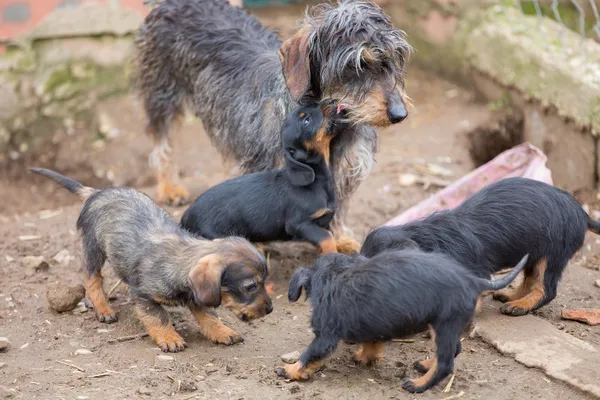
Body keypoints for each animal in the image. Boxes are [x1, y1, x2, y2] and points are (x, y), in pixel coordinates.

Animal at [28, 167, 272, 352]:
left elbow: (209, 317)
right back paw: (104, 309)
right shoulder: (145, 297)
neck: (180, 261)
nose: (270, 309)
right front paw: (169, 337)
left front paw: (222, 332)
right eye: (250, 286)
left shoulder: (196, 298)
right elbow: (158, 317)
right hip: (93, 249)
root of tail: (96, 193)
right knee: (93, 280)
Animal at [178, 101, 356, 255]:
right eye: (306, 121)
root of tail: (185, 217)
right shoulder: (299, 224)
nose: (330, 100)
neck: (317, 180)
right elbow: (327, 238)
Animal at [274, 252, 528, 392]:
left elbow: (308, 354)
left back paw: (418, 385)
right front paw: (365, 357)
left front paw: (290, 370)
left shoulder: (325, 335)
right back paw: (425, 365)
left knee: (447, 363)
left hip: (444, 325)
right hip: (443, 326)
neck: (335, 275)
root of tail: (474, 281)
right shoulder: (373, 328)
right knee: (454, 350)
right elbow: (371, 343)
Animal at [360, 177, 600, 316]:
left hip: (552, 255)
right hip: (534, 253)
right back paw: (512, 297)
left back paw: (519, 306)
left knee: (546, 289)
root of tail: (583, 214)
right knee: (530, 280)